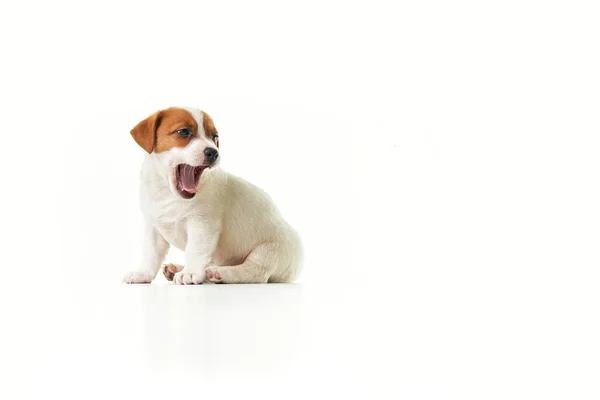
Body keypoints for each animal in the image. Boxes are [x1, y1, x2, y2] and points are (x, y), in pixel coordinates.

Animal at [122, 106, 302, 284]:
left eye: (214, 136)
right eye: (183, 132)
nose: (214, 152)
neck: (168, 193)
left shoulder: (202, 224)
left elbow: (194, 250)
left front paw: (190, 272)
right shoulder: (153, 227)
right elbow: (150, 254)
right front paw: (143, 274)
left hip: (267, 252)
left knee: (256, 272)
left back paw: (220, 273)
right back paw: (177, 269)